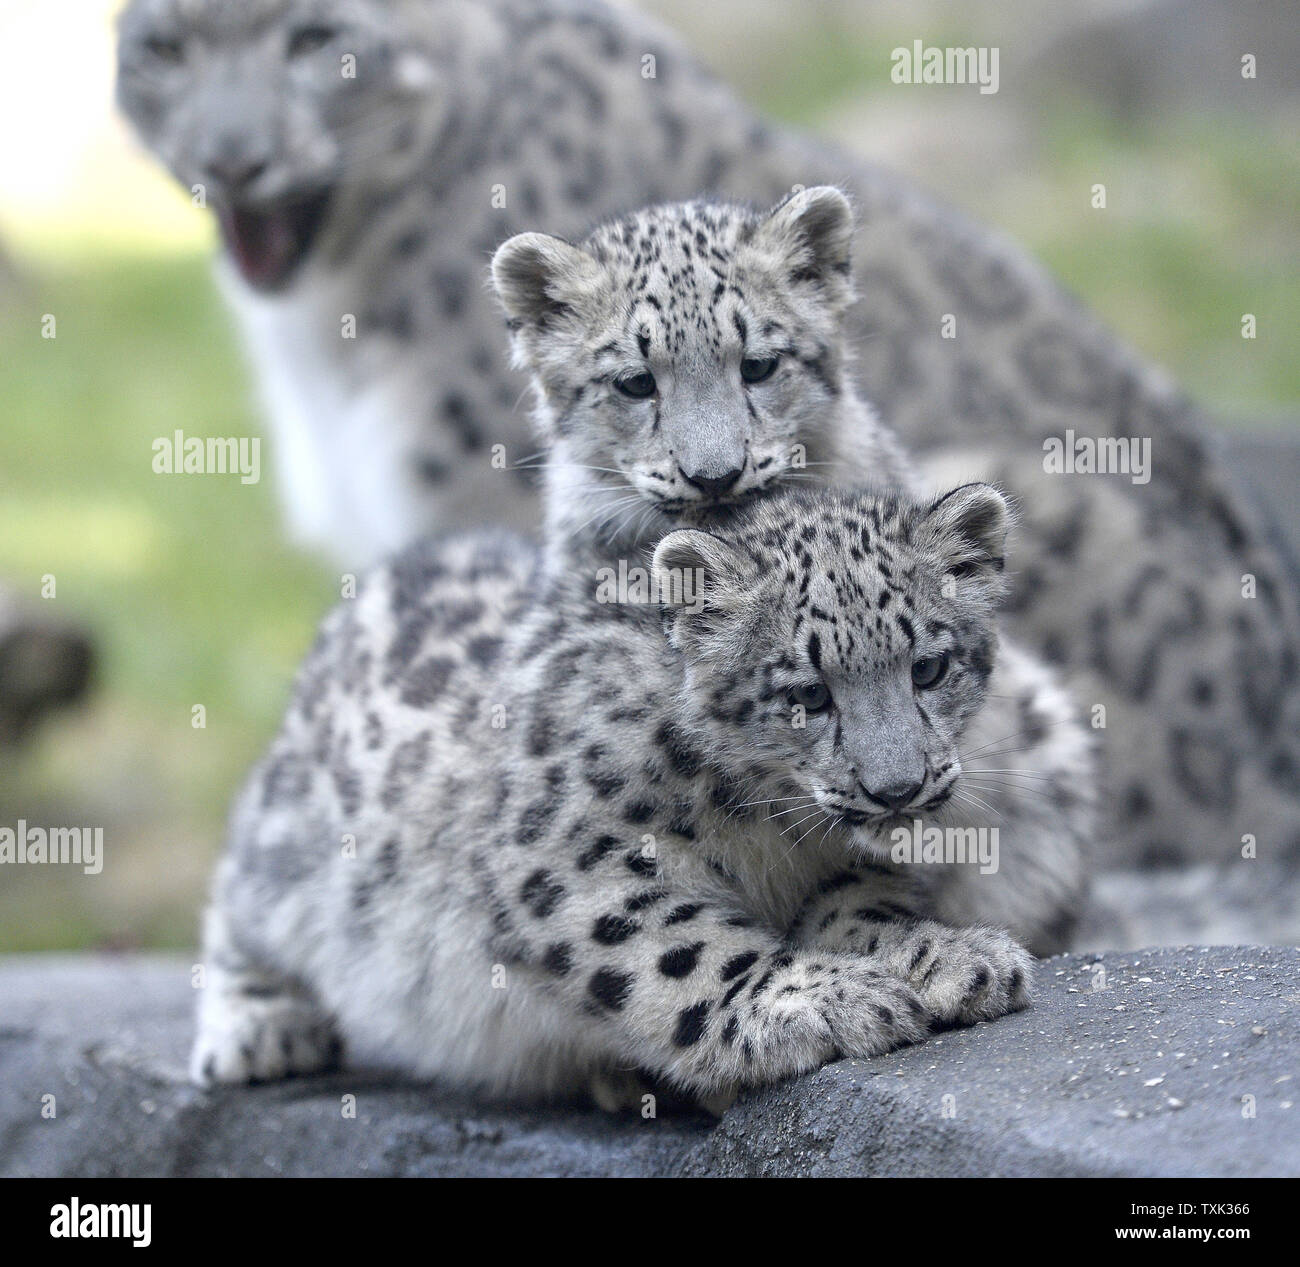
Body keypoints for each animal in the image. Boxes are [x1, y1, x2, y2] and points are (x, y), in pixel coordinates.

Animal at [192, 480, 1086, 1107]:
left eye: (929, 666)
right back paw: (261, 1026)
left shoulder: (850, 858)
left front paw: (949, 956)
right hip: (291, 850)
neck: (772, 831)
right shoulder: (569, 870)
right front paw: (830, 998)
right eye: (808, 692)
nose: (897, 786)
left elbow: (863, 904)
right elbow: (686, 950)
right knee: (236, 905)